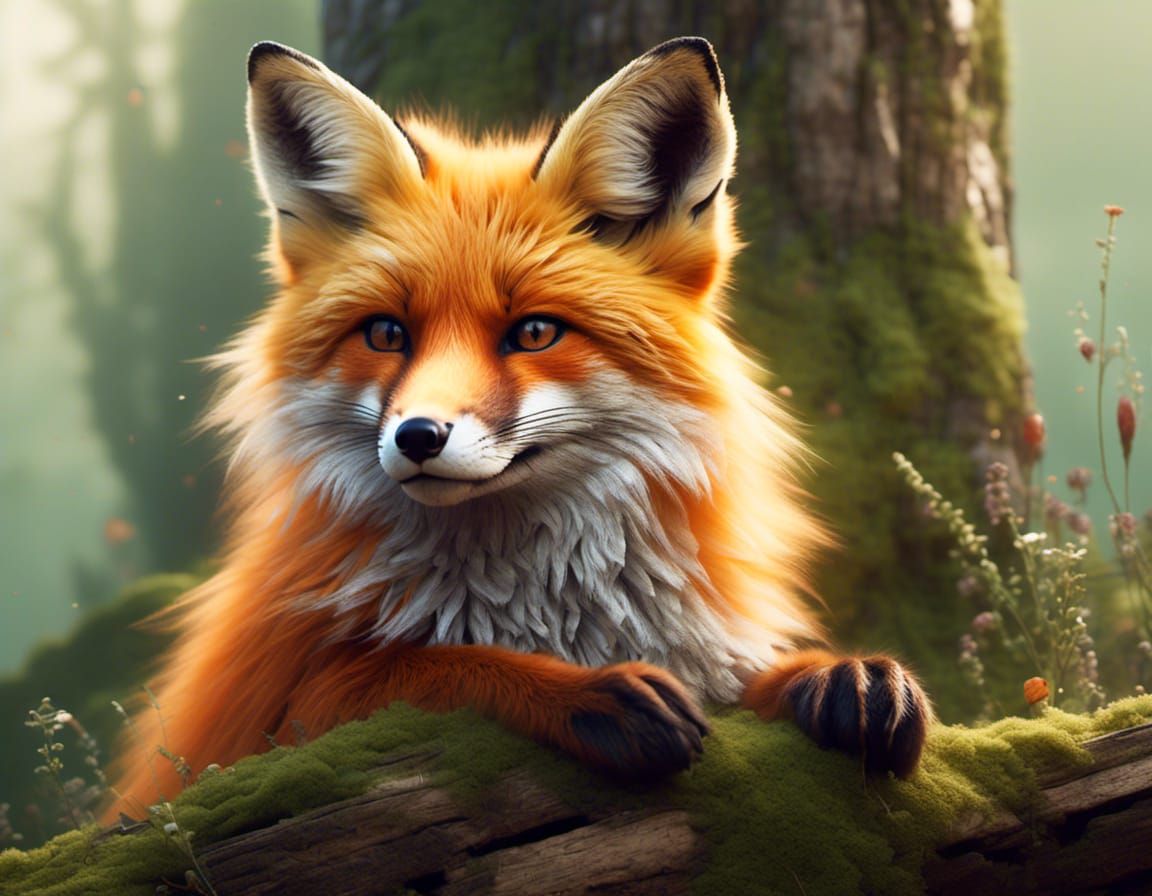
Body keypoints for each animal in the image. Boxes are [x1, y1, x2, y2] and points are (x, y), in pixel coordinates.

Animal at [110, 36, 930, 818]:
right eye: (385, 334)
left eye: (534, 332)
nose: (417, 437)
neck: (543, 608)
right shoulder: (288, 721)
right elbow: (435, 665)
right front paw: (578, 690)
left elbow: (755, 678)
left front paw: (837, 675)